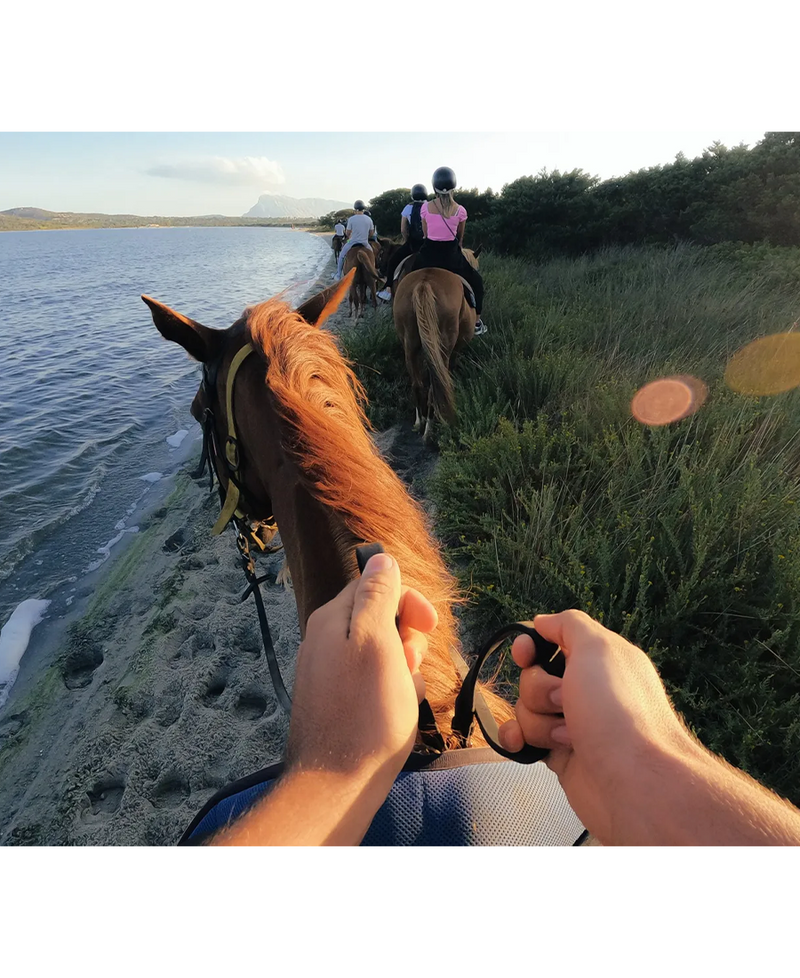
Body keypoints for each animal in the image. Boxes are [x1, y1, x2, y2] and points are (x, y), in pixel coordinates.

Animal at [394, 246, 482, 444]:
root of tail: (423, 284)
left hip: (409, 343)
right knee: (437, 384)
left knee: (418, 383)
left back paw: (420, 422)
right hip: (444, 344)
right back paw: (430, 429)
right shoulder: (454, 350)